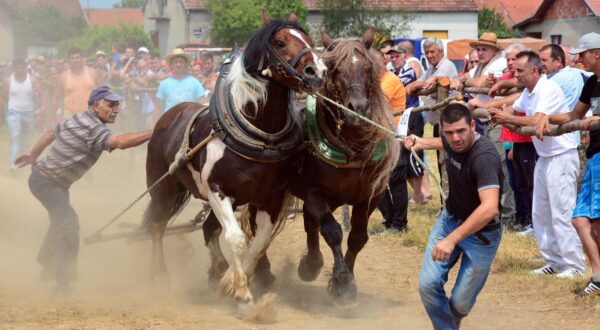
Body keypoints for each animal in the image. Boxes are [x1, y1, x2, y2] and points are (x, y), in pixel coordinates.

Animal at [143, 18, 326, 314]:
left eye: (309, 39)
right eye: (280, 42)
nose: (317, 72)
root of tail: (168, 115)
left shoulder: (269, 198)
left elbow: (259, 242)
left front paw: (231, 282)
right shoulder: (218, 192)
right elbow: (237, 239)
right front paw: (241, 292)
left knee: (207, 229)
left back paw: (217, 269)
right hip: (163, 189)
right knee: (158, 226)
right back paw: (159, 274)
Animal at [288, 29, 400, 308]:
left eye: (368, 68)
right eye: (335, 69)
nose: (358, 109)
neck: (352, 147)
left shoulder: (370, 196)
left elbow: (357, 237)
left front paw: (346, 278)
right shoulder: (314, 193)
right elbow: (333, 232)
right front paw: (341, 282)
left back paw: (311, 263)